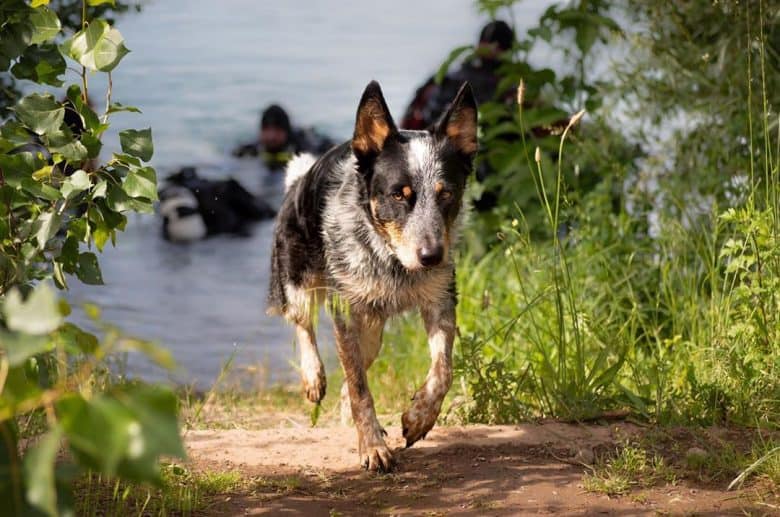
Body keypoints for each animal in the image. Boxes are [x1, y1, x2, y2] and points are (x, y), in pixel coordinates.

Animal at [266, 80, 476, 472]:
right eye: (399, 195)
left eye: (447, 194)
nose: (431, 257)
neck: (393, 262)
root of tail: (300, 179)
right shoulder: (345, 312)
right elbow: (360, 389)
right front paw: (372, 447)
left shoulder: (440, 300)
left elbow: (443, 370)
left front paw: (419, 418)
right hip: (296, 277)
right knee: (303, 323)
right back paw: (313, 376)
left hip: (373, 332)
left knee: (357, 365)